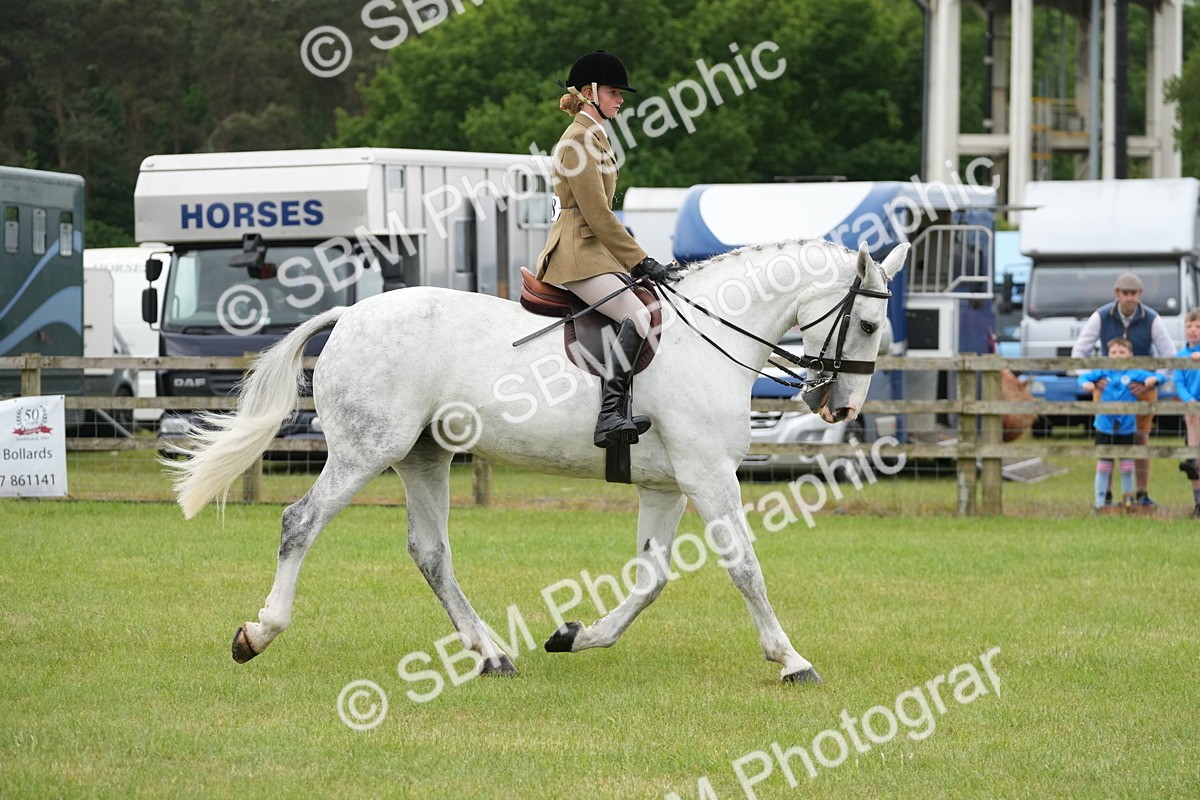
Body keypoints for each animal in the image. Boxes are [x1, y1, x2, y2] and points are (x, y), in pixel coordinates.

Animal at [169, 238, 908, 684]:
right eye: (870, 325)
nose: (840, 408)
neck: (710, 336)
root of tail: (350, 314)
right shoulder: (707, 474)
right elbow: (744, 565)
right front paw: (791, 660)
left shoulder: (669, 486)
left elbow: (651, 578)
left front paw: (576, 635)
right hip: (364, 450)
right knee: (301, 523)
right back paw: (258, 633)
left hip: (423, 456)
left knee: (430, 552)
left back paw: (492, 652)